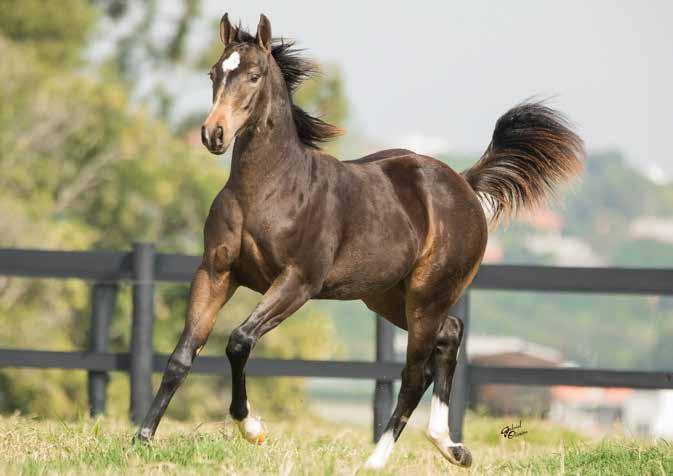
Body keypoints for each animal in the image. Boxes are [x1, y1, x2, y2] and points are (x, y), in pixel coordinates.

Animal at [133, 13, 584, 470]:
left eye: (254, 76)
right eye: (213, 73)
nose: (213, 134)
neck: (269, 189)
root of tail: (463, 184)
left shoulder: (297, 282)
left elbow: (239, 341)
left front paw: (253, 428)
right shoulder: (216, 273)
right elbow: (182, 355)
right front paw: (142, 438)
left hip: (427, 294)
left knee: (414, 373)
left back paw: (376, 461)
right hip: (387, 296)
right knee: (450, 334)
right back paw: (452, 447)